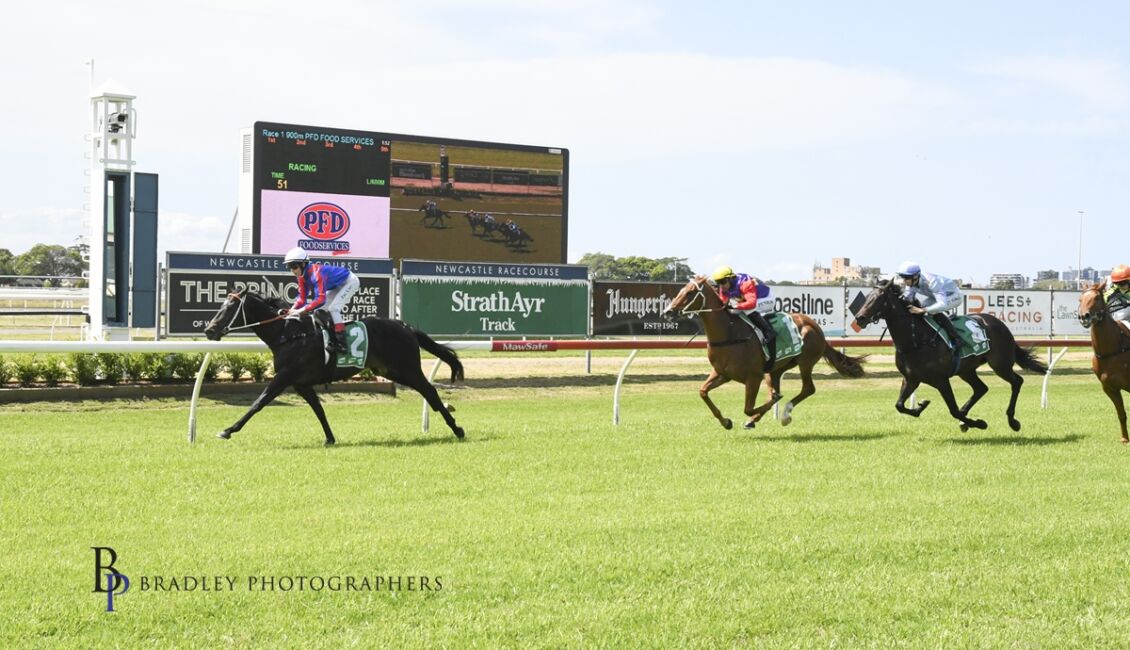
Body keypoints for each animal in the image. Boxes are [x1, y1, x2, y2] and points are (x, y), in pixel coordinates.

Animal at [202, 291, 465, 444]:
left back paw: (457, 429)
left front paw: (228, 430)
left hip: (407, 368)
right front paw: (330, 438)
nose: (209, 330)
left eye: (228, 308)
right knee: (428, 393)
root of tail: (405, 326)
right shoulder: (301, 384)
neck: (288, 334)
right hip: (392, 371)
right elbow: (319, 410)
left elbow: (258, 403)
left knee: (430, 391)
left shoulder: (284, 376)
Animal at [662, 275, 867, 430]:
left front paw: (759, 412)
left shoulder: (753, 377)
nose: (667, 312)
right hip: (776, 368)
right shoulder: (722, 374)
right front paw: (726, 422)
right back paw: (757, 419)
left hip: (805, 361)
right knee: (777, 387)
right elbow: (703, 392)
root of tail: (815, 327)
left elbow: (749, 407)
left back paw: (785, 415)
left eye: (690, 292)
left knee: (808, 389)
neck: (729, 333)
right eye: (681, 289)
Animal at [853, 279, 1047, 432]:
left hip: (1000, 364)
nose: (859, 318)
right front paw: (920, 406)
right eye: (867, 297)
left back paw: (1012, 420)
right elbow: (899, 405)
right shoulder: (911, 378)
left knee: (1017, 382)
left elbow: (953, 410)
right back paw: (966, 418)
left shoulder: (941, 380)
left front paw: (979, 423)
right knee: (981, 388)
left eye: (879, 298)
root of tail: (999, 323)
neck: (915, 341)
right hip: (966, 370)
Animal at [1078, 282, 1130, 443]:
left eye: (1096, 297)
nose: (1084, 317)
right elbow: (1122, 414)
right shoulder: (1109, 387)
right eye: (1079, 299)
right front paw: (1124, 438)